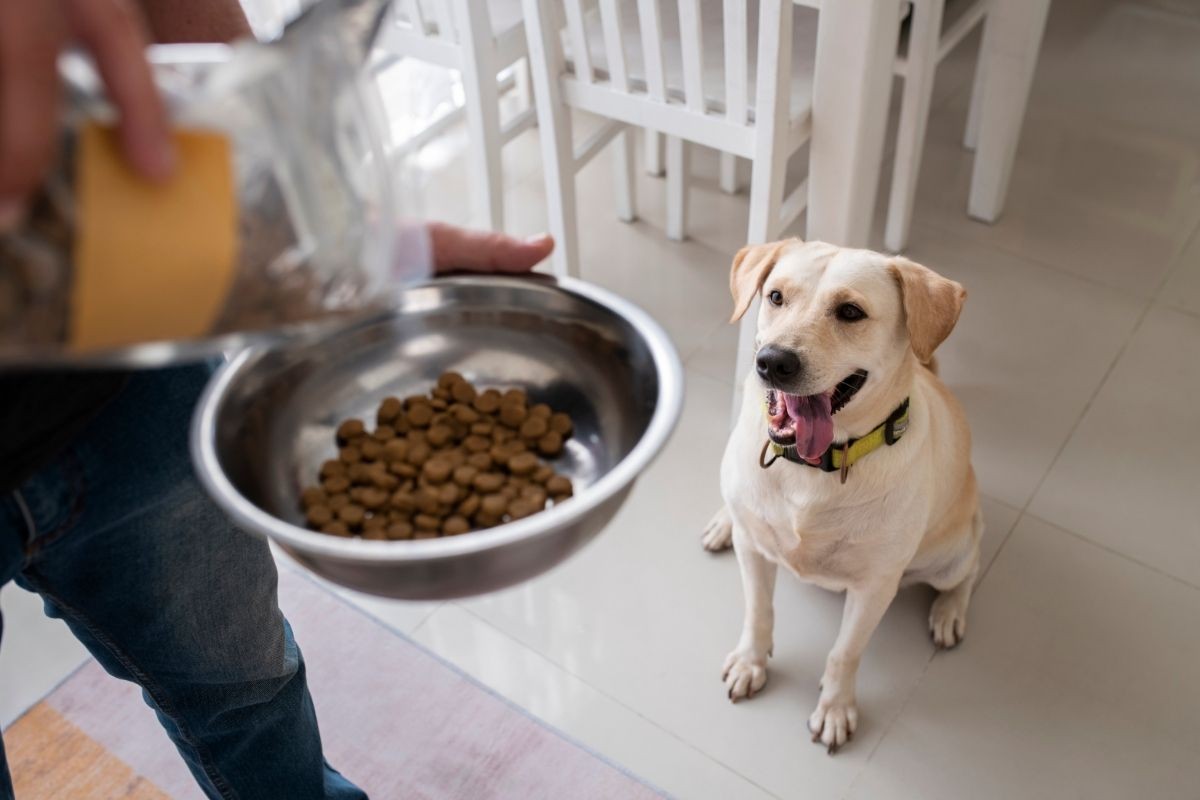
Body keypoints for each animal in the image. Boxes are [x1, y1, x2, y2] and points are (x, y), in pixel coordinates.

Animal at [700, 236, 974, 753]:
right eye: (776, 297)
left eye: (850, 312)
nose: (773, 361)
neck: (812, 468)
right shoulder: (755, 551)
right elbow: (758, 611)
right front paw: (751, 661)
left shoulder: (875, 586)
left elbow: (845, 652)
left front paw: (835, 708)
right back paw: (723, 520)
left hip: (948, 555)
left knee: (967, 571)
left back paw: (949, 612)